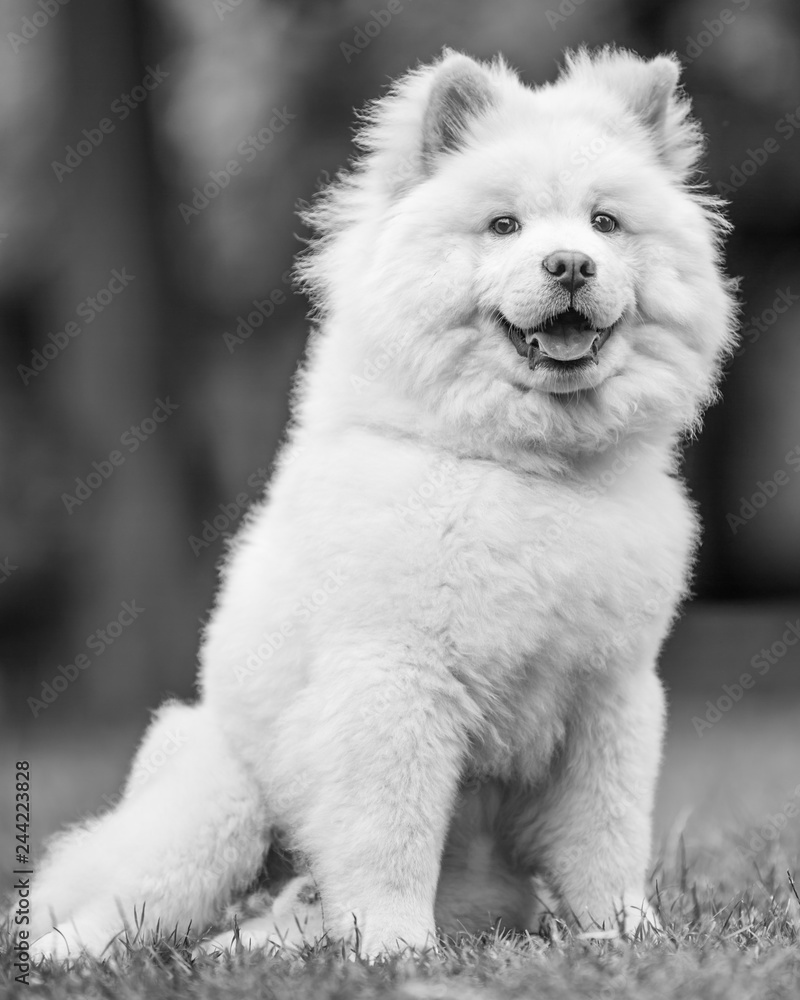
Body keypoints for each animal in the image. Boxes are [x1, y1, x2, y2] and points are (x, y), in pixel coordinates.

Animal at [26, 48, 736, 960]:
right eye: (504, 226)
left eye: (605, 224)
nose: (571, 264)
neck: (524, 466)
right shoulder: (394, 682)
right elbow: (390, 839)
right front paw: (397, 951)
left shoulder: (607, 698)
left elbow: (606, 840)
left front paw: (629, 936)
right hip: (217, 813)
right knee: (117, 903)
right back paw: (61, 953)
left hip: (461, 890)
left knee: (265, 921)